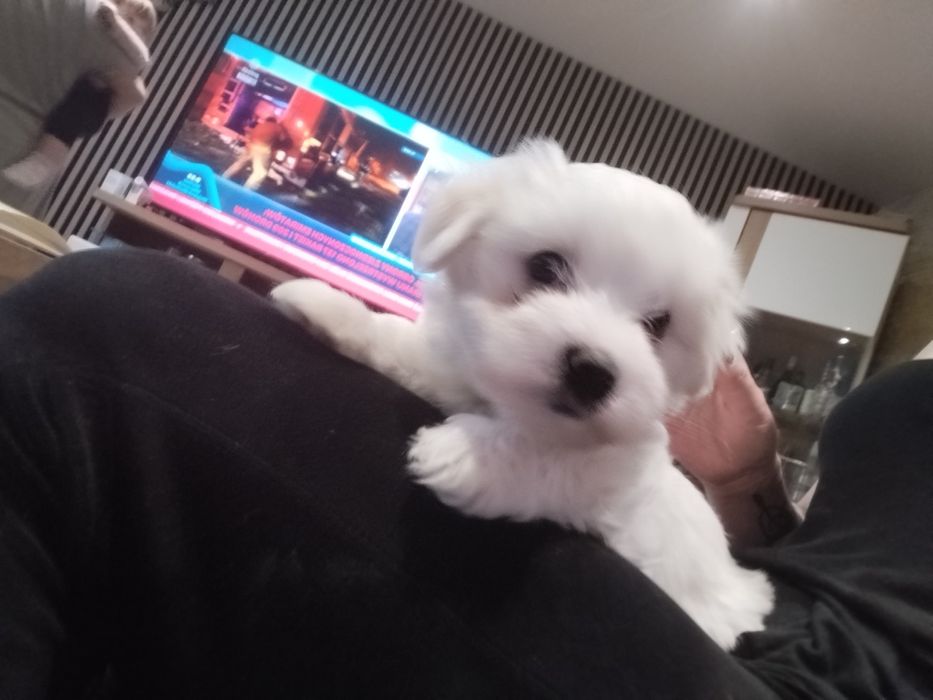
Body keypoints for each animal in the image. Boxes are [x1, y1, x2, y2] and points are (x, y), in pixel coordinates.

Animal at [271, 140, 773, 649]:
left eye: (659, 324)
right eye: (545, 267)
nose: (592, 371)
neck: (516, 412)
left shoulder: (626, 482)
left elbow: (568, 462)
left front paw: (466, 455)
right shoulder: (453, 371)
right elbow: (410, 351)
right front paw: (335, 311)